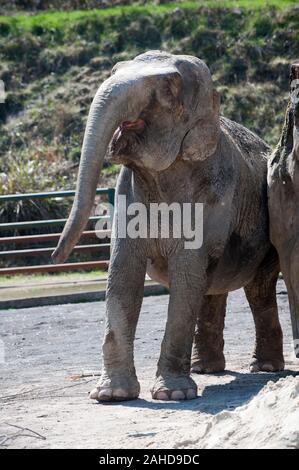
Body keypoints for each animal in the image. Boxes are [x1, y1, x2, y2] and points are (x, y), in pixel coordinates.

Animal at [52, 52, 284, 404]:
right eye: (115, 70)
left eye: (169, 86)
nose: (53, 257)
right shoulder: (127, 195)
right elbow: (123, 276)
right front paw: (111, 395)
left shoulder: (210, 195)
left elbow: (185, 275)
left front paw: (173, 395)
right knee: (210, 288)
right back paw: (207, 369)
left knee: (257, 290)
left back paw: (265, 368)